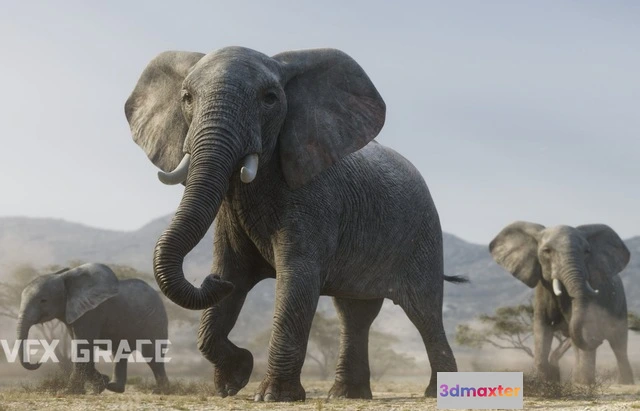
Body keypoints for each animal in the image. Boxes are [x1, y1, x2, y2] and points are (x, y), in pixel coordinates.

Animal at [17, 263, 170, 394]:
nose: (38, 362)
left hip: (155, 320)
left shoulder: (92, 312)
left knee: (151, 355)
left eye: (43, 300)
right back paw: (114, 388)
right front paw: (100, 385)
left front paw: (69, 392)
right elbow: (84, 348)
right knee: (120, 353)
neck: (66, 278)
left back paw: (160, 391)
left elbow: (83, 346)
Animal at [124, 46, 466, 401]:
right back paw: (346, 395)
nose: (209, 280)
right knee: (355, 314)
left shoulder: (314, 200)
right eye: (187, 98)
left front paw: (271, 396)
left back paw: (434, 392)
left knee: (425, 312)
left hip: (423, 234)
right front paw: (234, 380)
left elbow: (297, 279)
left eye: (270, 98)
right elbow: (234, 272)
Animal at [490, 222, 633, 385]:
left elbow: (584, 330)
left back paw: (624, 383)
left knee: (619, 345)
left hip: (620, 304)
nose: (598, 340)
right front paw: (545, 382)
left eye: (587, 251)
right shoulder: (542, 290)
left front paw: (584, 384)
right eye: (547, 251)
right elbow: (542, 329)